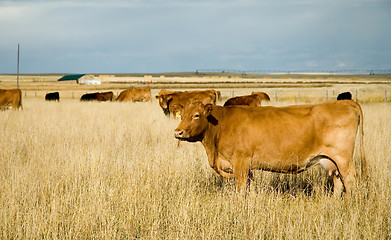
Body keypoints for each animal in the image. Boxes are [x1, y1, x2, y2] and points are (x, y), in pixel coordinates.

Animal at [175, 100, 368, 198]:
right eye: (182, 115)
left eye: (196, 115)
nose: (178, 132)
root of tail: (344, 103)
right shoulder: (249, 167)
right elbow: (250, 188)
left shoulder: (241, 162)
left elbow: (240, 188)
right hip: (331, 160)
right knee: (338, 180)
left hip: (343, 158)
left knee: (349, 179)